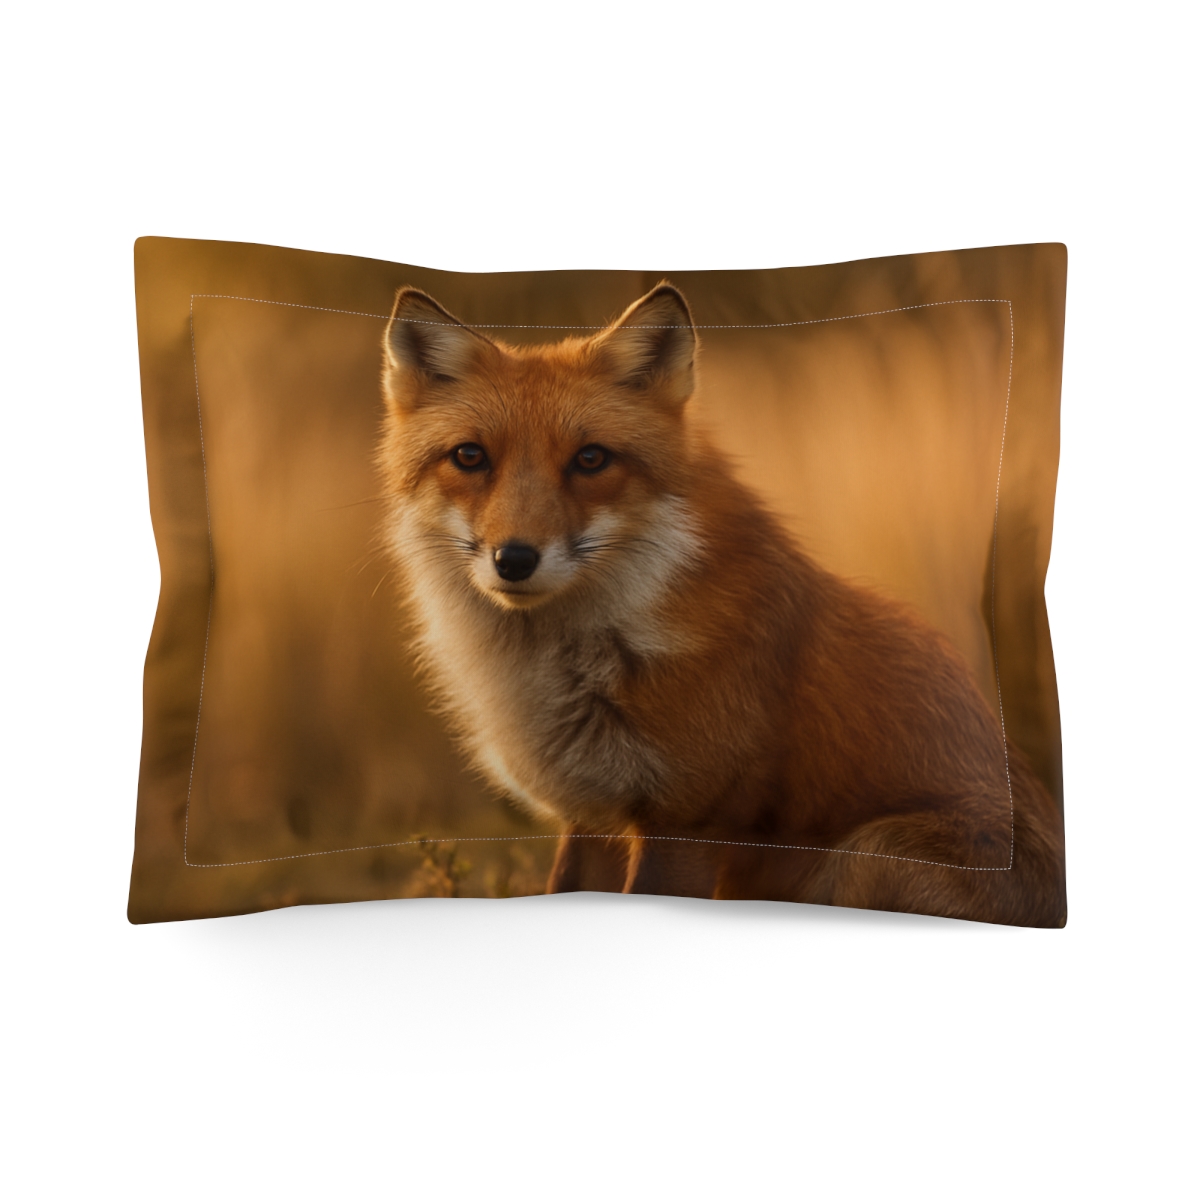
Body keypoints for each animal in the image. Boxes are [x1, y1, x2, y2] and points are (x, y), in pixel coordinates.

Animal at [377, 282, 1067, 926]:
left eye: (591, 459)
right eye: (470, 457)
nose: (515, 559)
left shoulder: (686, 820)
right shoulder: (594, 818)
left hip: (870, 853)